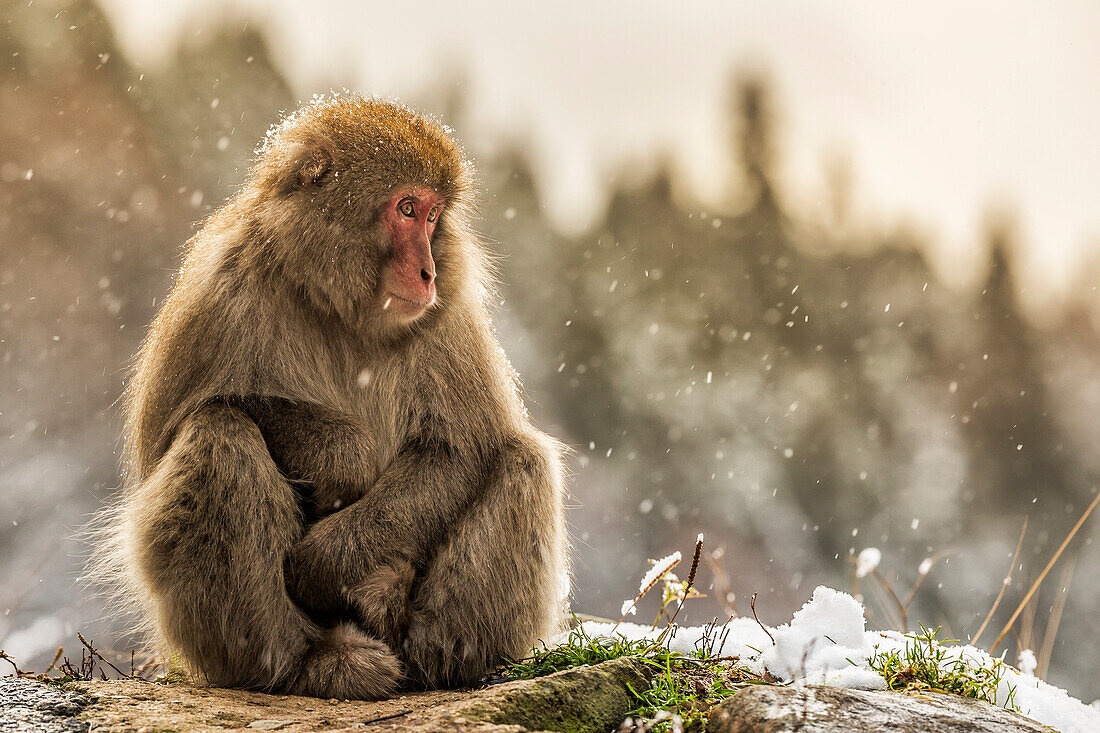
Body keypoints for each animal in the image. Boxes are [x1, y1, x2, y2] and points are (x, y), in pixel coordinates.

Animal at [94, 96, 567, 695]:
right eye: (406, 208)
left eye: (434, 217)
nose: (428, 271)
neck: (339, 307)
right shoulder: (219, 286)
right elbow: (177, 429)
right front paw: (345, 458)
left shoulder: (449, 314)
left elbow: (459, 450)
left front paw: (321, 566)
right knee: (218, 434)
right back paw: (302, 662)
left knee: (524, 461)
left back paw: (432, 658)